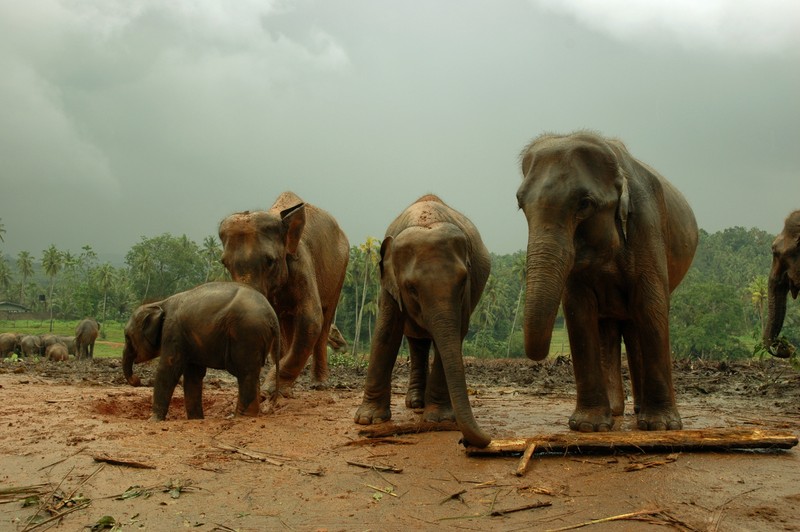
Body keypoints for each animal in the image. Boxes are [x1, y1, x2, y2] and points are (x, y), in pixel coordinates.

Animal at [120, 280, 280, 422]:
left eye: (127, 337)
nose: (137, 380)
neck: (159, 303)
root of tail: (272, 315)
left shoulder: (173, 333)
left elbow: (168, 370)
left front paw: (152, 420)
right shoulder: (188, 340)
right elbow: (193, 375)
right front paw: (195, 419)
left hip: (246, 334)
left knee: (246, 373)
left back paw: (242, 417)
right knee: (251, 373)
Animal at [217, 193, 348, 392]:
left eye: (270, 261)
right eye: (225, 264)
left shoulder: (301, 263)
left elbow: (311, 319)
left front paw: (269, 390)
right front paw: (278, 390)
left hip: (340, 270)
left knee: (325, 320)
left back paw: (319, 384)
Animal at [354, 193, 490, 446]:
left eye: (462, 281)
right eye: (411, 288)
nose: (485, 439)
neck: (426, 219)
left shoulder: (466, 294)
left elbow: (456, 333)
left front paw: (439, 419)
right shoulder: (389, 283)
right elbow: (385, 333)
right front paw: (368, 420)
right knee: (417, 342)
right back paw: (416, 403)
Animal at [520, 132, 692, 432]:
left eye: (584, 204)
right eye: (520, 204)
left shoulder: (647, 225)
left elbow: (651, 306)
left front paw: (661, 426)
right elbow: (578, 311)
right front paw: (587, 426)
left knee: (636, 322)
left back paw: (640, 411)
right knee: (611, 328)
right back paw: (615, 410)